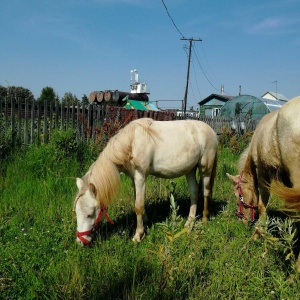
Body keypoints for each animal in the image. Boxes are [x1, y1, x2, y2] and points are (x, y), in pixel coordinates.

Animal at [73, 117, 217, 244]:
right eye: (77, 213)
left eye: (90, 214)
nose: (80, 242)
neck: (131, 143)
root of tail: (211, 131)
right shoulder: (134, 178)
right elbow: (138, 201)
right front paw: (146, 222)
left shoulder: (140, 177)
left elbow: (138, 206)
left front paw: (138, 235)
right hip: (190, 170)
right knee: (194, 192)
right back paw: (189, 223)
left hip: (205, 169)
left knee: (206, 192)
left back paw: (204, 220)